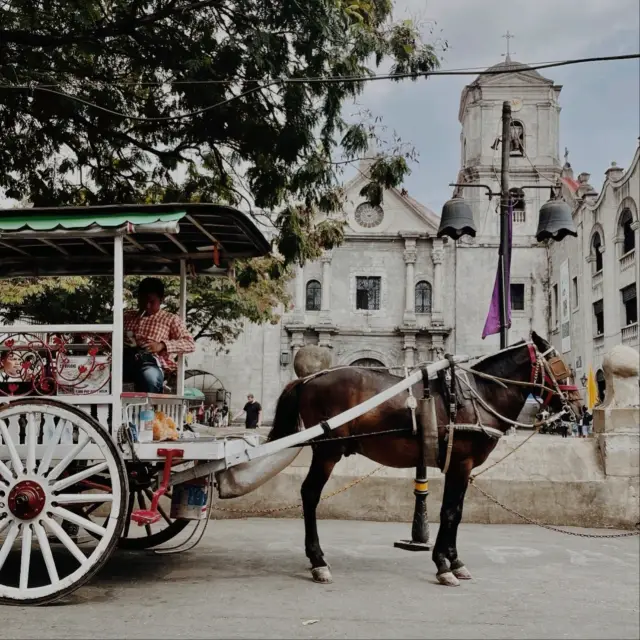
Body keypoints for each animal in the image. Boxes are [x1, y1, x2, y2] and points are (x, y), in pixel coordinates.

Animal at [268, 332, 584, 588]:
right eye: (559, 365)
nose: (579, 409)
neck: (479, 395)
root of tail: (308, 378)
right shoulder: (460, 464)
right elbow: (449, 513)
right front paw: (443, 566)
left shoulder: (463, 468)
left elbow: (457, 512)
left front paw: (455, 562)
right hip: (327, 452)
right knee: (309, 494)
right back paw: (318, 561)